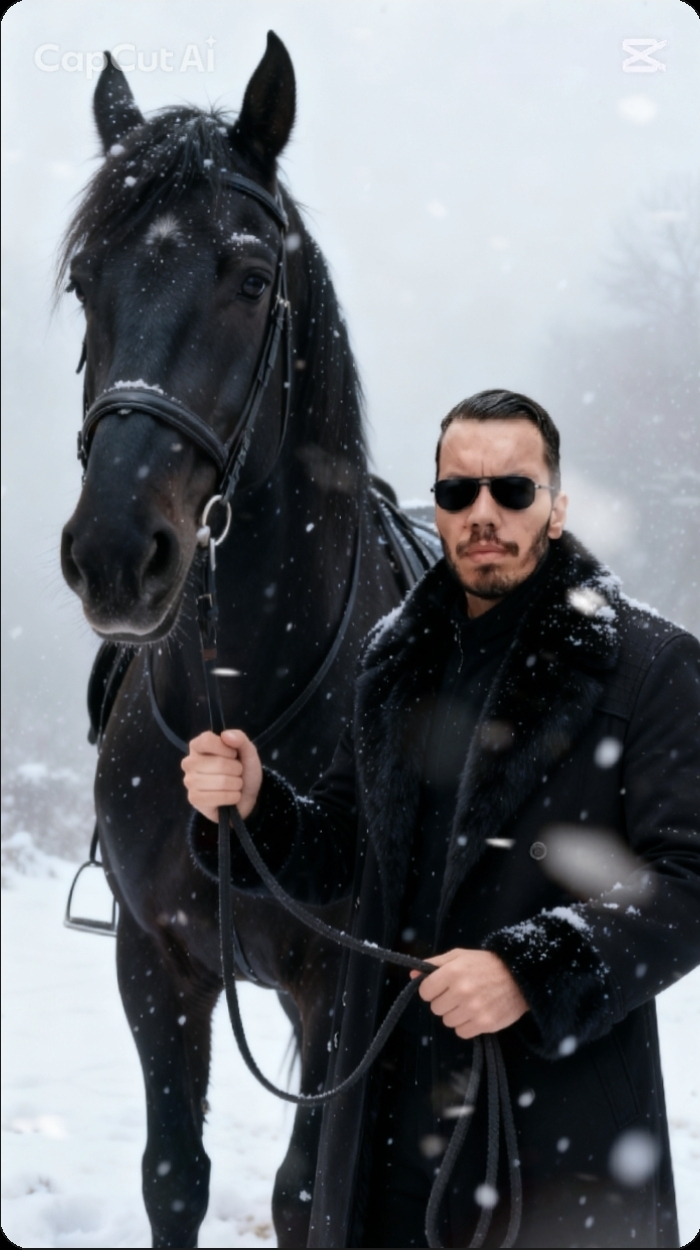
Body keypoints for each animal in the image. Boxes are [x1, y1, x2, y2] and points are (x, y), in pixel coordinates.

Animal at [59, 33, 436, 1249]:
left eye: (251, 278)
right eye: (86, 282)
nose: (115, 552)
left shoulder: (338, 984)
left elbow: (308, 1191)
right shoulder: (157, 964)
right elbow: (175, 1173)